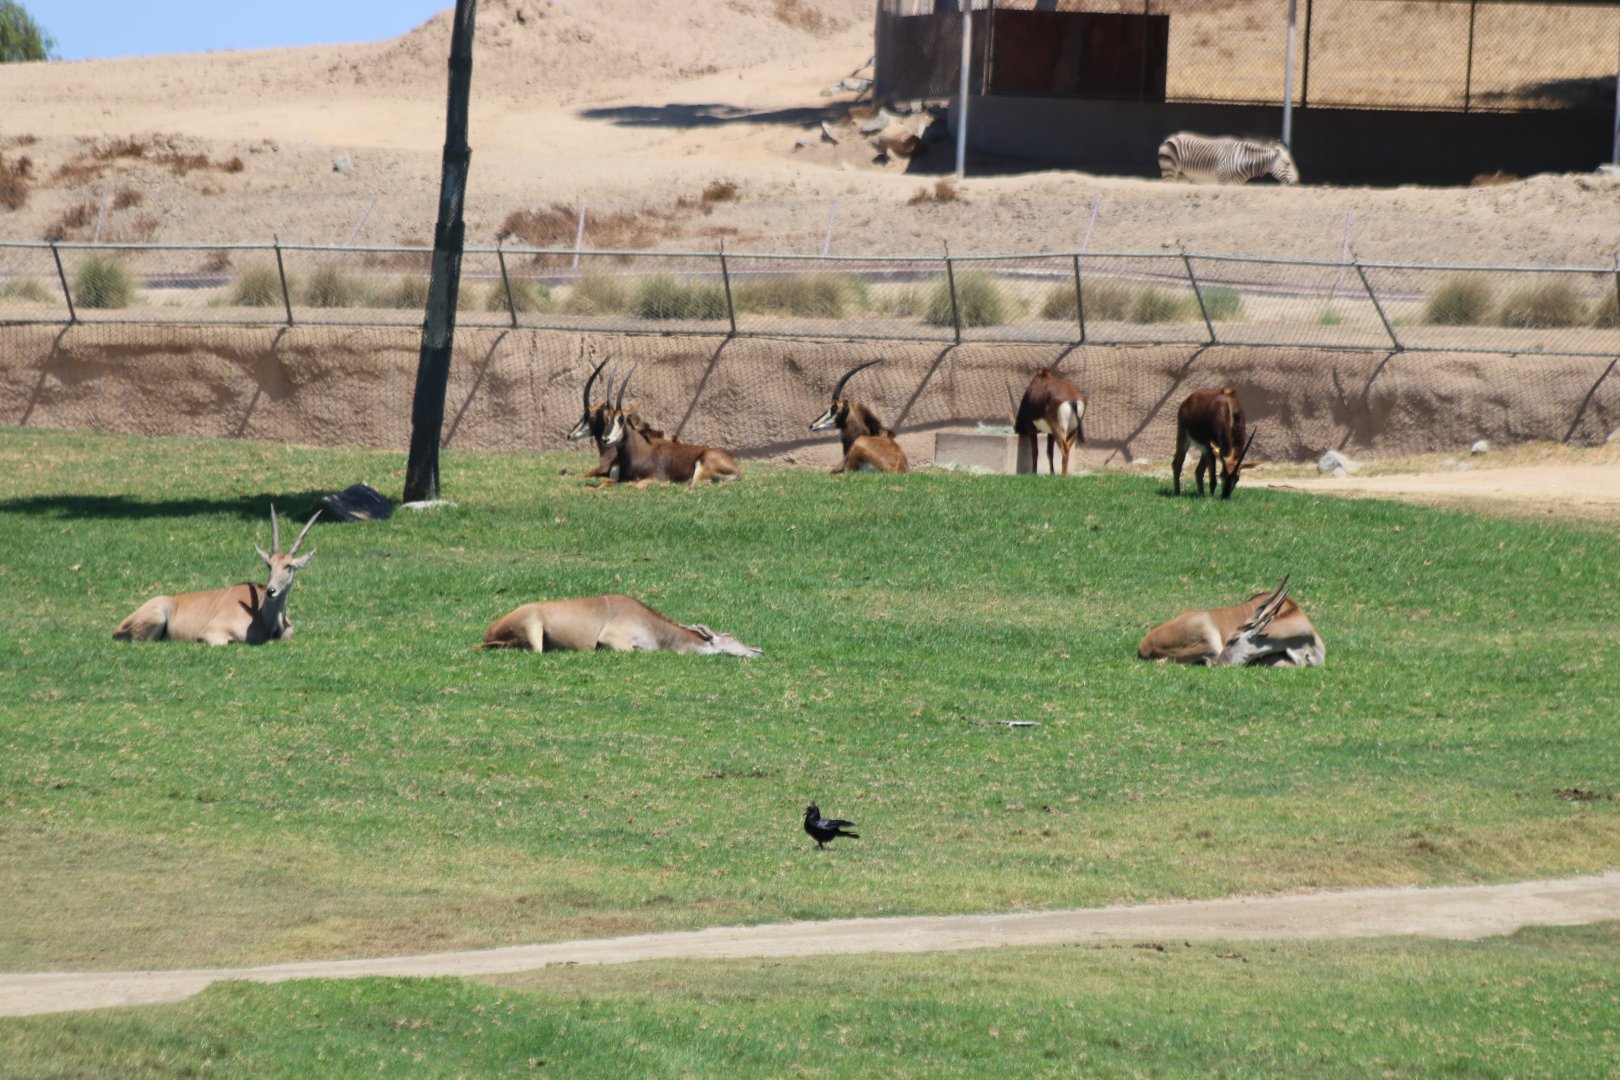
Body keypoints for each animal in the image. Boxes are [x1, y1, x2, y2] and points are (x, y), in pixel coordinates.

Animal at [113, 507, 320, 645]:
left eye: (289, 566)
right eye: (269, 565)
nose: (271, 591)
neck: (262, 619)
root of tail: (118, 627)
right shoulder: (211, 634)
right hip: (158, 616)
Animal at [601, 366, 741, 486]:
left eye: (621, 419)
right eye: (606, 417)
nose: (605, 439)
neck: (640, 450)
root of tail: (736, 468)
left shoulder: (655, 477)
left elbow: (635, 484)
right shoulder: (621, 479)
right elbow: (603, 483)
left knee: (693, 486)